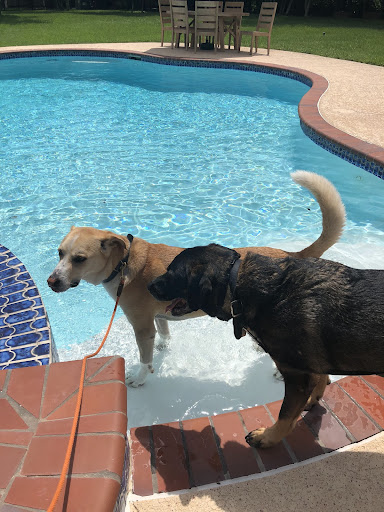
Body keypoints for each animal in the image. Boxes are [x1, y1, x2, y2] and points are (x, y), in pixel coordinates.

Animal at [47, 170, 344, 386]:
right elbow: (164, 332)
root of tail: (290, 253)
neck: (124, 264)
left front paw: (140, 377)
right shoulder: (159, 315)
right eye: (59, 252)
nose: (51, 282)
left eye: (79, 259)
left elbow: (144, 358)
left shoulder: (142, 327)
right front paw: (164, 347)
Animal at [148, 244, 384, 448]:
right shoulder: (313, 367)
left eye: (172, 273)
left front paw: (268, 437)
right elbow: (320, 379)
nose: (148, 286)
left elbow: (285, 415)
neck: (237, 285)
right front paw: (314, 398)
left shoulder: (297, 376)